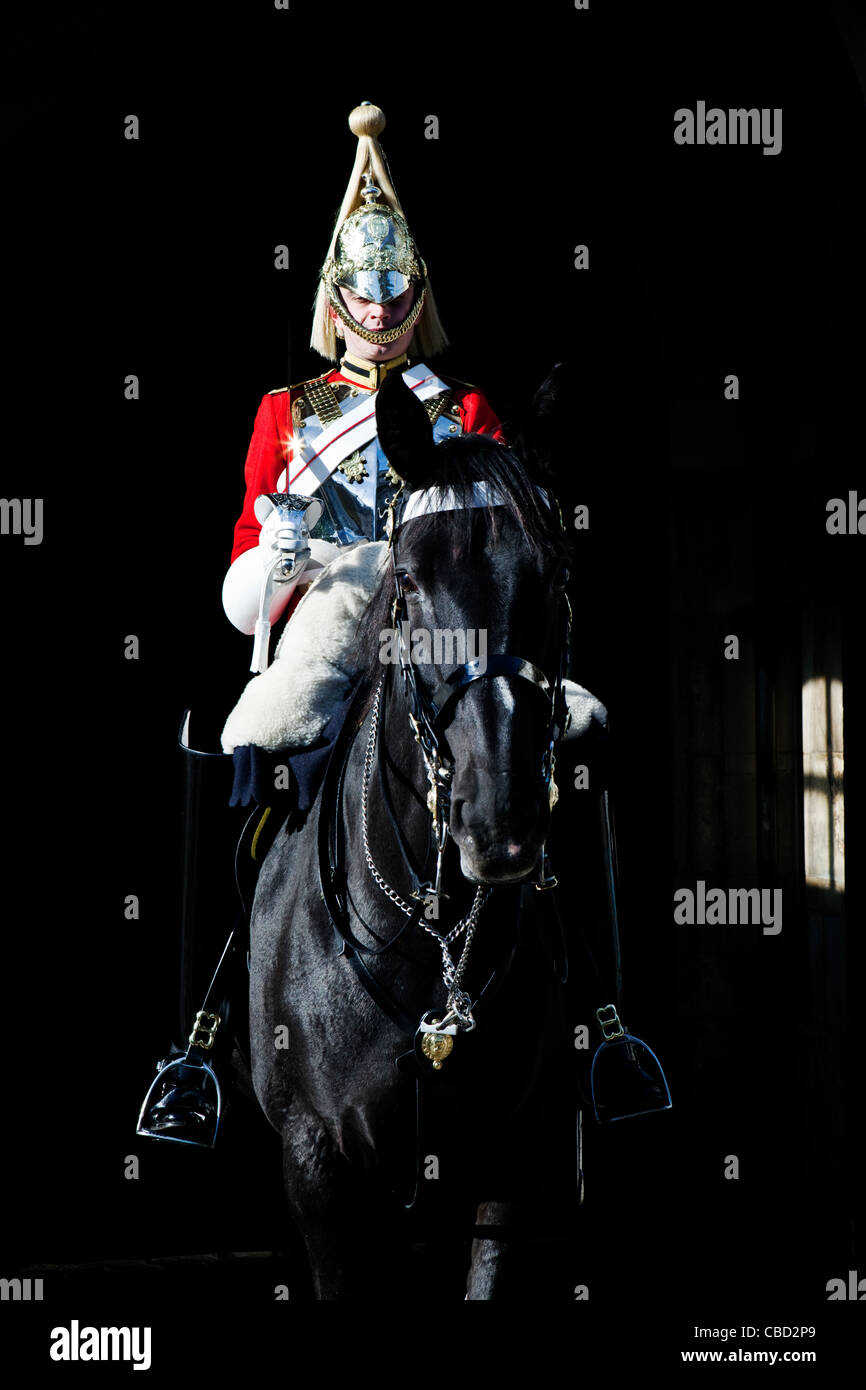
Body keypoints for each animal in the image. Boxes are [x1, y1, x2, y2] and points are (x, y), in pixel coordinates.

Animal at [248, 364, 583, 1295]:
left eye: (555, 577)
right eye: (408, 583)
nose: (499, 821)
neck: (427, 935)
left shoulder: (512, 1157)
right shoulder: (319, 1168)